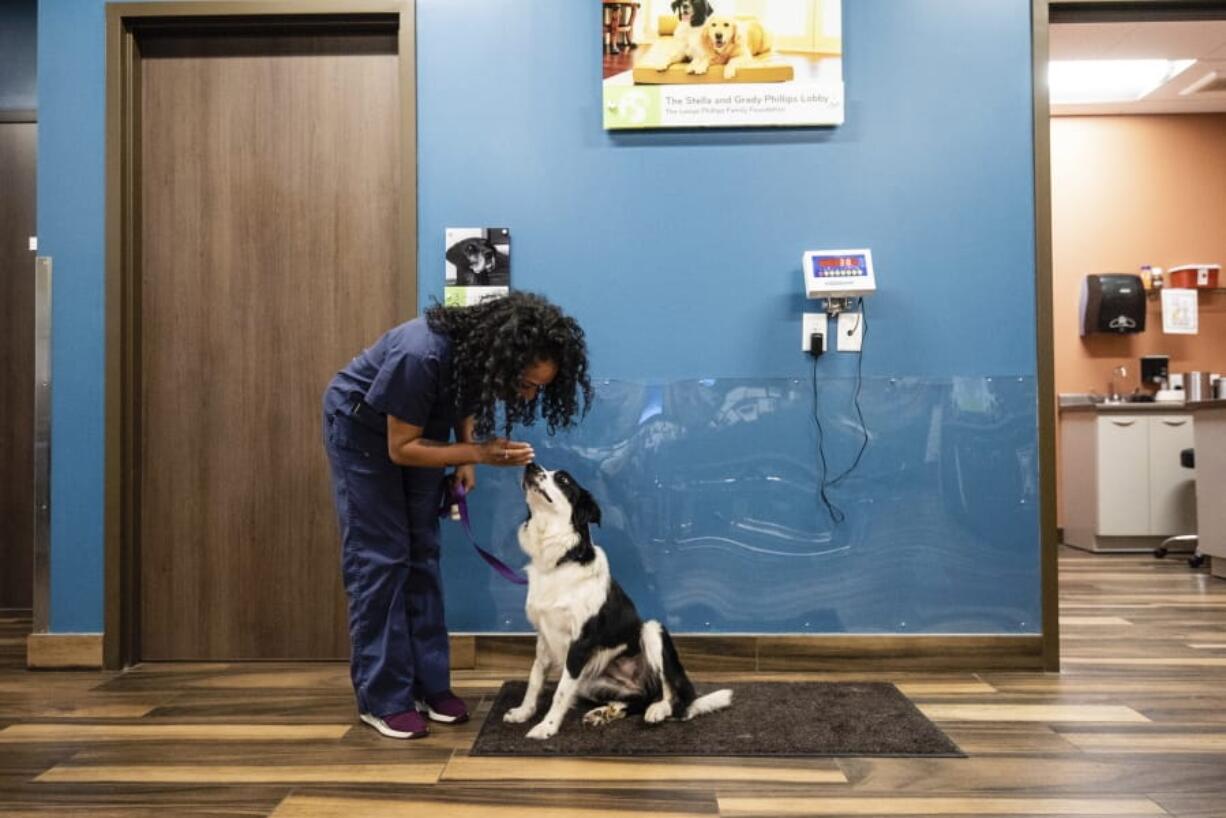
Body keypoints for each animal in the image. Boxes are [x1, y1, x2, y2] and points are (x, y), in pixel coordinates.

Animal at [502, 463, 730, 740]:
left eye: (563, 479)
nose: (530, 465)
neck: (560, 561)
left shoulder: (580, 643)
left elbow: (560, 692)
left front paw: (547, 727)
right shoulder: (544, 637)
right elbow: (535, 678)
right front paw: (524, 712)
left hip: (652, 630)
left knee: (672, 697)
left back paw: (658, 709)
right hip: (590, 681)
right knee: (640, 698)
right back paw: (605, 712)